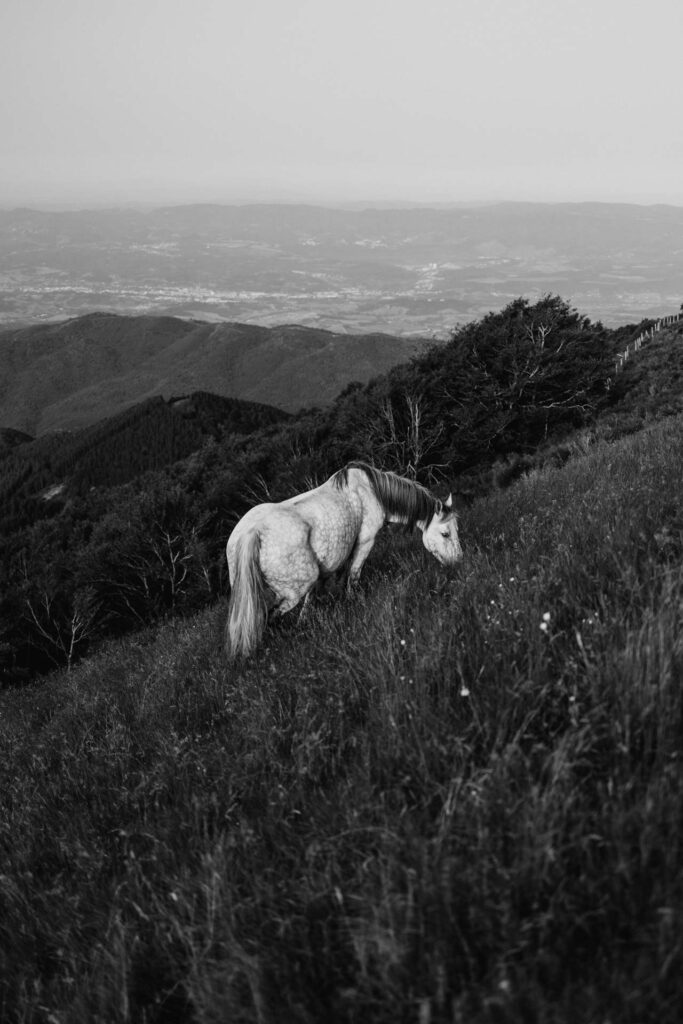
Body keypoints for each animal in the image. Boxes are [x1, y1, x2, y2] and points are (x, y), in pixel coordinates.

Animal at [227, 462, 462, 659]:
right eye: (445, 534)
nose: (458, 562)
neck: (371, 490)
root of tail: (252, 533)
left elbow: (324, 588)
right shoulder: (365, 541)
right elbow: (353, 575)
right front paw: (352, 602)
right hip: (293, 591)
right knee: (269, 617)